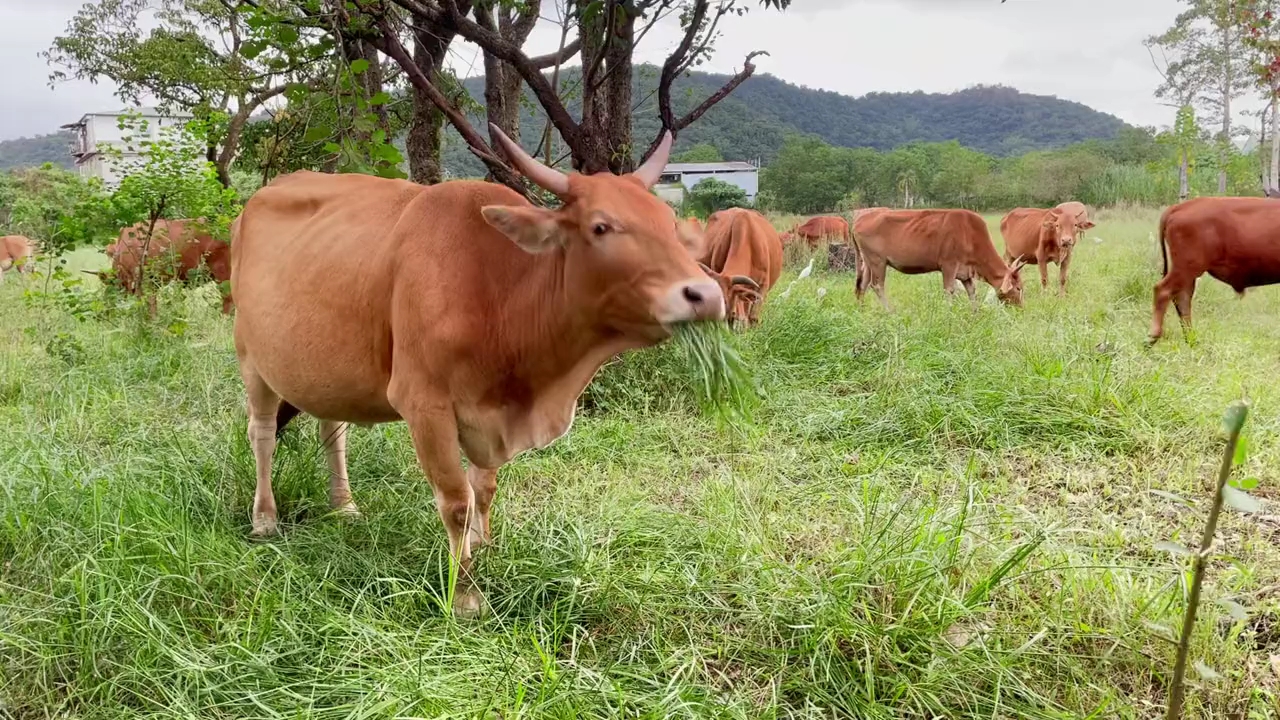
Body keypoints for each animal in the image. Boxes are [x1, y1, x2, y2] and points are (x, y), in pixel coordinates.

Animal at [227, 124, 721, 617]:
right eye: (601, 226)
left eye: (668, 222)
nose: (705, 294)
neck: (499, 291)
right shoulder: (425, 406)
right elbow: (457, 502)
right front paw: (464, 593)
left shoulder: (491, 410)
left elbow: (484, 488)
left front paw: (486, 547)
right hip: (252, 359)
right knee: (262, 433)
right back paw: (265, 518)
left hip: (328, 373)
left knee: (333, 431)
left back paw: (344, 506)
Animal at [849, 207, 1029, 308]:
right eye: (1018, 288)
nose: (1021, 308)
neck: (971, 235)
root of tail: (859, 220)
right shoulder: (949, 265)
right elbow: (949, 290)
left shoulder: (965, 272)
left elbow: (972, 292)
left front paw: (975, 314)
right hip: (878, 261)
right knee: (877, 286)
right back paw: (890, 312)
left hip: (867, 262)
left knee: (861, 286)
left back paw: (861, 311)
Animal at [1146, 194, 1280, 343]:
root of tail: (1179, 207)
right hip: (1185, 268)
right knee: (1163, 291)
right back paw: (1153, 336)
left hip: (1188, 273)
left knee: (1182, 298)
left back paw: (1191, 339)